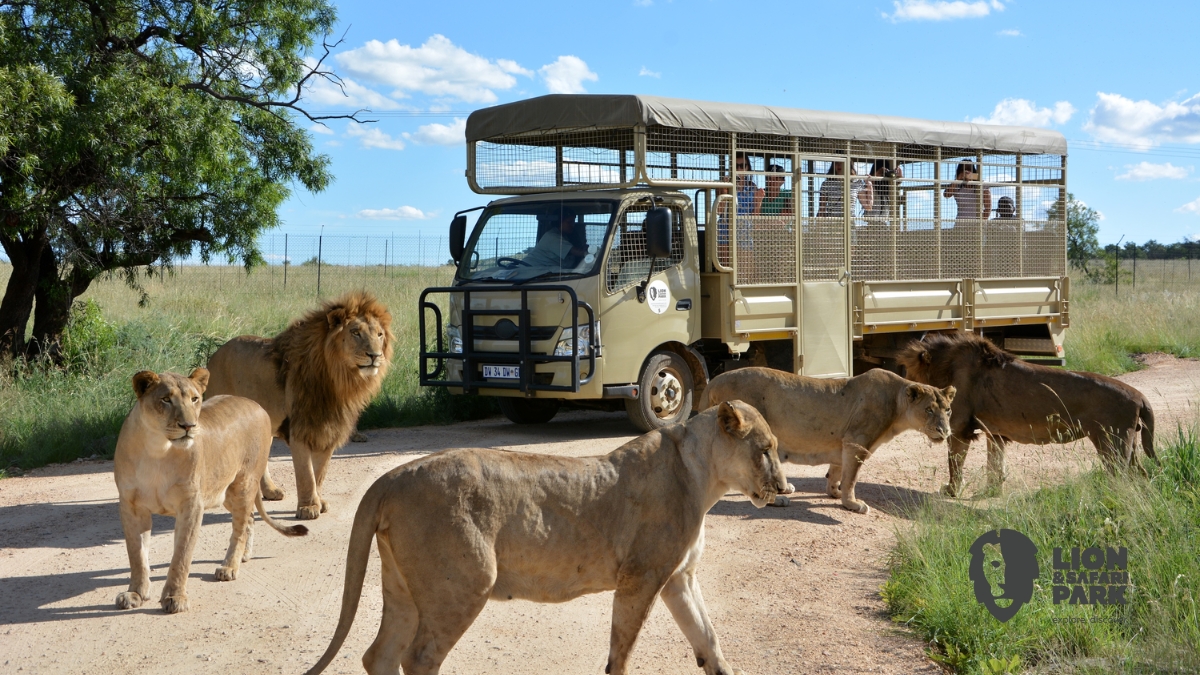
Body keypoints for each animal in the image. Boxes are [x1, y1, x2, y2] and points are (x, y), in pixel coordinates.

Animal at [113, 369, 308, 614]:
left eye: (194, 399)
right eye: (166, 399)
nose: (188, 425)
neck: (157, 449)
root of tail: (256, 405)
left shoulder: (191, 505)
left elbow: (181, 556)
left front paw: (175, 597)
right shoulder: (131, 505)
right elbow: (137, 554)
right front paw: (135, 594)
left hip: (243, 484)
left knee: (240, 527)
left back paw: (229, 567)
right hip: (225, 492)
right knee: (249, 519)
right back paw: (244, 556)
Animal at [205, 291, 393, 520]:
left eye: (380, 335)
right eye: (356, 332)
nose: (375, 356)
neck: (339, 380)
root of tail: (214, 355)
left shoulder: (329, 428)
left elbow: (319, 473)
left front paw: (319, 502)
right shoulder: (300, 429)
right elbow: (306, 473)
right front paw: (308, 508)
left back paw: (270, 491)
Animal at [302, 401, 786, 675]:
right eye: (765, 450)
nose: (784, 488)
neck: (703, 476)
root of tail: (390, 477)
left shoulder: (678, 578)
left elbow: (709, 640)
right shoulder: (641, 578)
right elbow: (621, 653)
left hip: (403, 588)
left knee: (380, 656)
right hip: (463, 585)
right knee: (418, 659)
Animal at [705, 367, 955, 514]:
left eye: (948, 410)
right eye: (929, 410)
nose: (945, 431)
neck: (897, 404)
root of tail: (713, 381)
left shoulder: (844, 443)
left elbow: (837, 470)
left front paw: (834, 492)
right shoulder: (857, 442)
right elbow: (852, 478)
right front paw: (852, 504)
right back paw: (778, 500)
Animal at [899, 332, 1155, 497]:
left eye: (910, 373)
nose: (905, 392)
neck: (945, 366)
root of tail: (1140, 396)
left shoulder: (960, 429)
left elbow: (955, 464)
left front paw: (952, 491)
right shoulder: (995, 433)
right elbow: (995, 464)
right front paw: (991, 491)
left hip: (1112, 445)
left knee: (1123, 479)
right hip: (1127, 445)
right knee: (1141, 475)